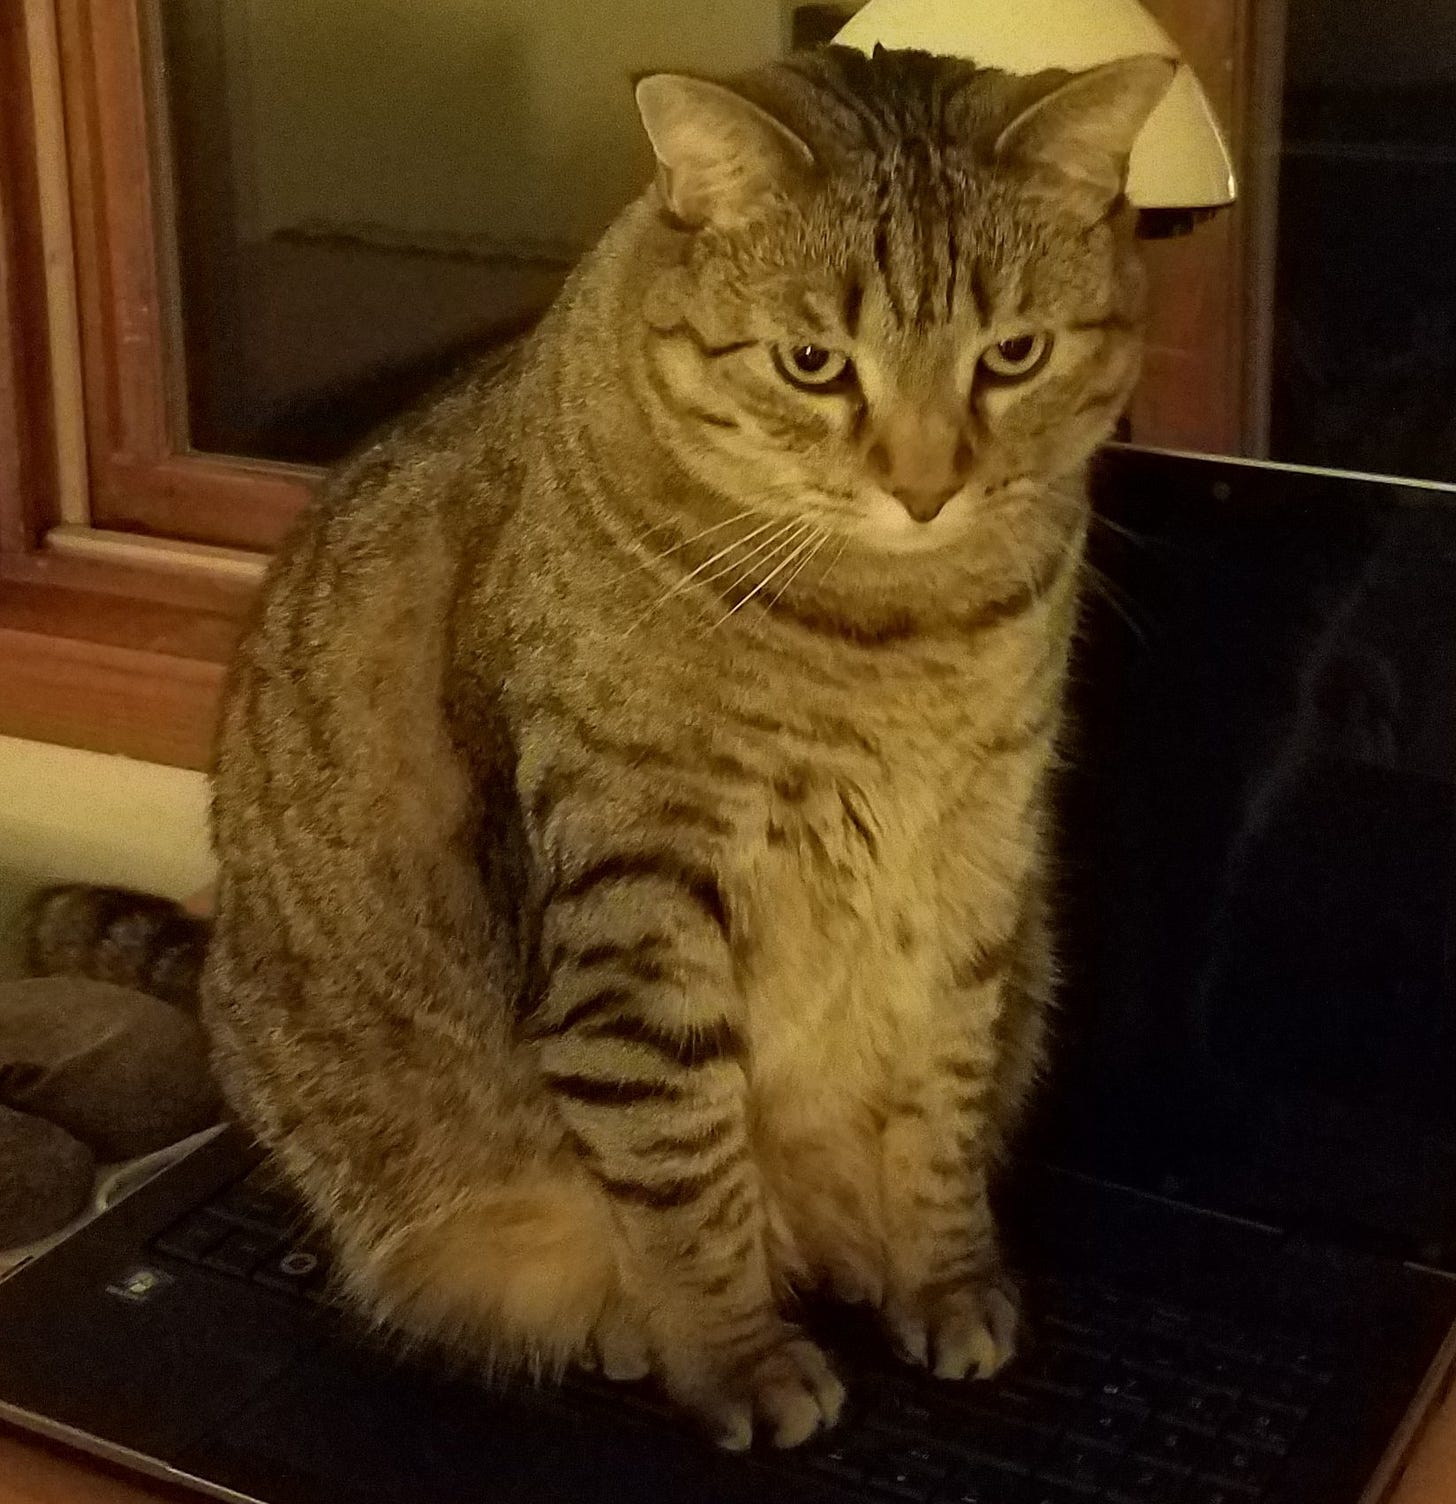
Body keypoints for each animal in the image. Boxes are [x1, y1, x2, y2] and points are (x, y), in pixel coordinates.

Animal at [29, 46, 1174, 1449]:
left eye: (1012, 354)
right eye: (812, 363)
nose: (924, 487)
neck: (893, 624)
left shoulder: (972, 868)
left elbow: (939, 1117)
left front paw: (943, 1279)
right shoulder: (637, 898)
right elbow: (682, 1165)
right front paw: (738, 1358)